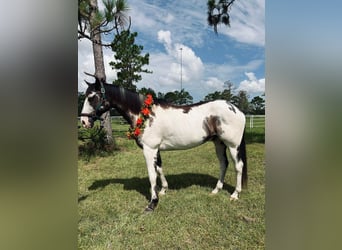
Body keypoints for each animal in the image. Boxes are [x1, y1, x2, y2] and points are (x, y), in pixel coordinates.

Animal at [81, 77, 247, 211]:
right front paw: (163, 190)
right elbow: (159, 169)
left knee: (238, 166)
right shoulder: (156, 150)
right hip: (219, 143)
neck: (145, 114)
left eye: (91, 97)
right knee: (223, 164)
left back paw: (235, 194)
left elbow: (152, 175)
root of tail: (236, 109)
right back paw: (216, 190)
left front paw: (152, 203)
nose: (83, 121)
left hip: (233, 145)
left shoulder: (149, 150)